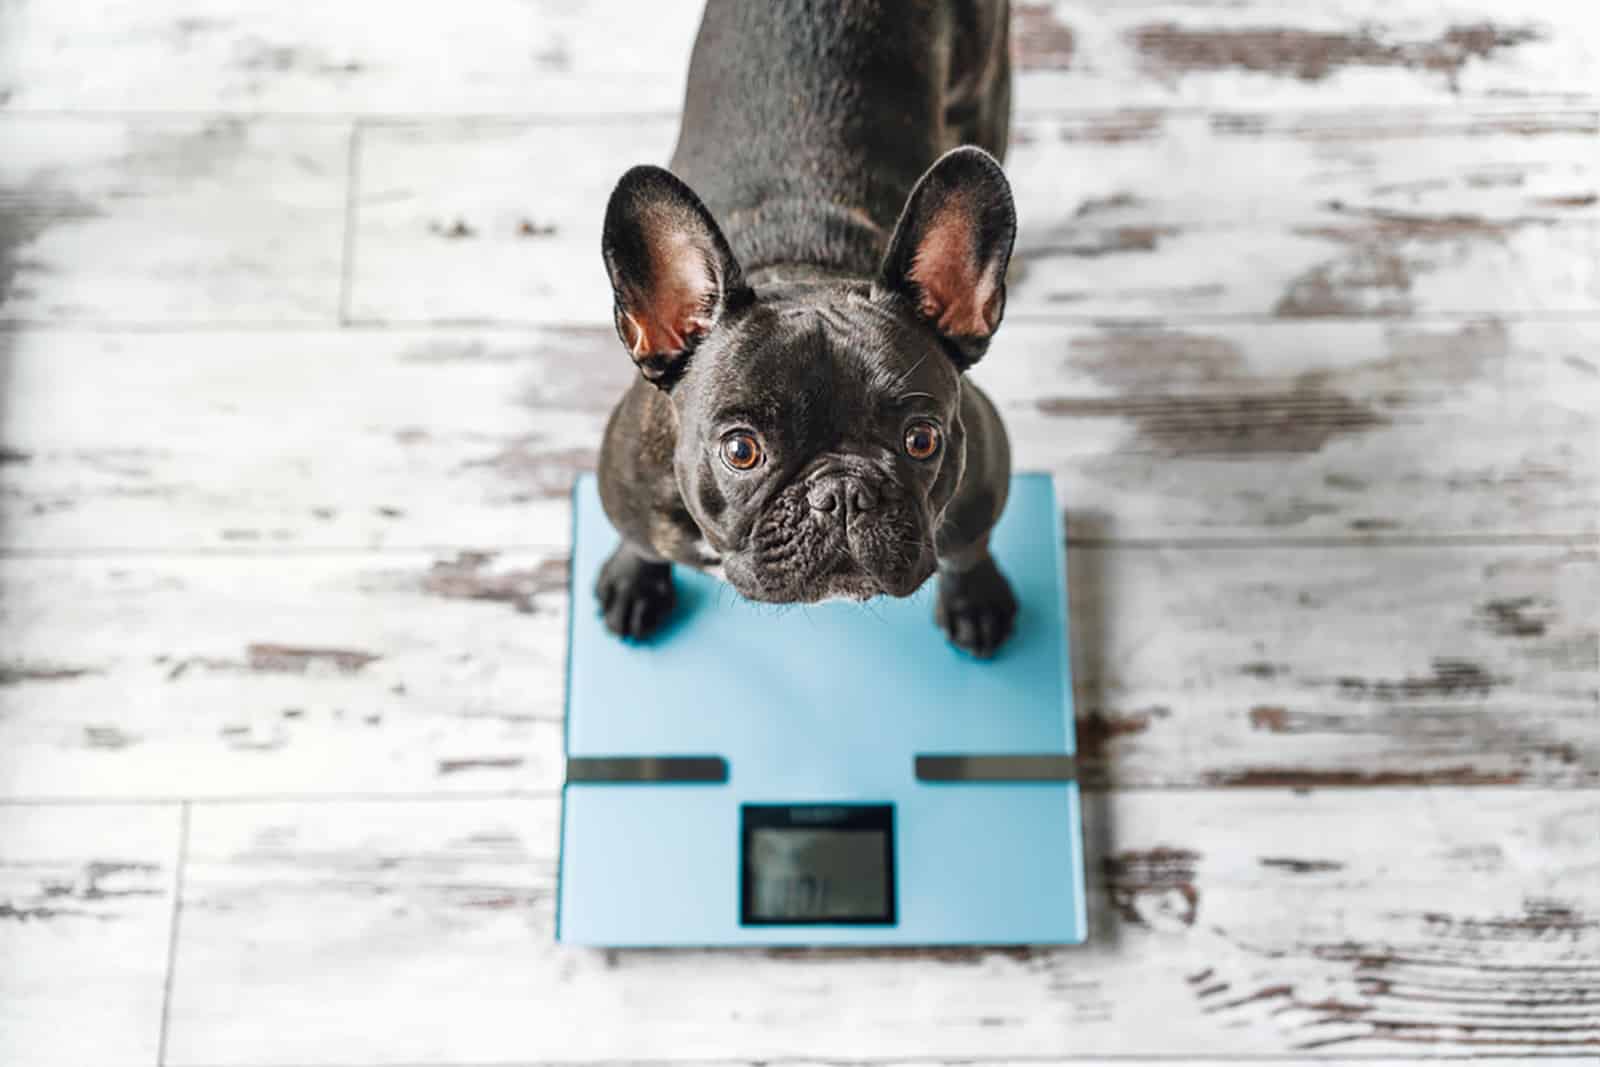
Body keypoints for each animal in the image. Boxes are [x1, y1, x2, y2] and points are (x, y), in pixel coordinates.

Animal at [595, 0, 1017, 659]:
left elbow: (969, 548)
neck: (806, 265)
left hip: (983, 95)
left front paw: (974, 599)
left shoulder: (981, 488)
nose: (842, 493)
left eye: (922, 440)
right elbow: (641, 541)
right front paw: (634, 579)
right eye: (740, 451)